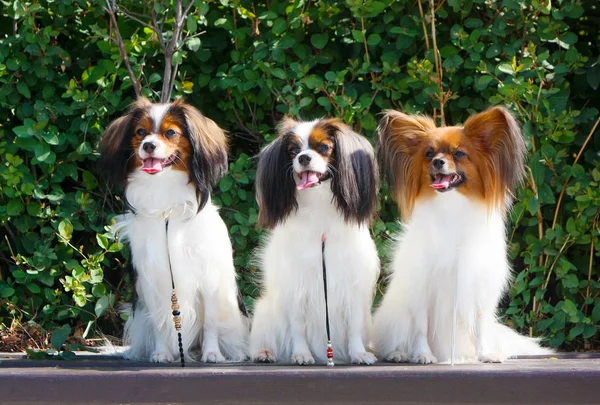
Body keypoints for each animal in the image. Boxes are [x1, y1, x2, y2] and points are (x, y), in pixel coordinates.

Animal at [99, 97, 247, 362]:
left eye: (170, 133)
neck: (165, 202)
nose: (148, 145)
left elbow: (210, 323)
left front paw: (212, 354)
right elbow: (160, 321)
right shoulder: (152, 280)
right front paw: (161, 353)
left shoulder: (209, 279)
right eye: (140, 132)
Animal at [250, 117, 380, 362]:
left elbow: (355, 326)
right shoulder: (297, 284)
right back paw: (264, 352)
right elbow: (298, 326)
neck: (318, 202)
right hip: (265, 311)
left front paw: (359, 353)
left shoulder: (353, 283)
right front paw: (301, 354)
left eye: (323, 148)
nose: (303, 158)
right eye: (293, 151)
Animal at [376, 105, 552, 362]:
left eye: (459, 154)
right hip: (396, 315)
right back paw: (398, 353)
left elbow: (479, 325)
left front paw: (485, 354)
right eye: (429, 154)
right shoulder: (422, 284)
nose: (438, 161)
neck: (452, 204)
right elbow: (420, 326)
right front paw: (423, 355)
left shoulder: (478, 282)